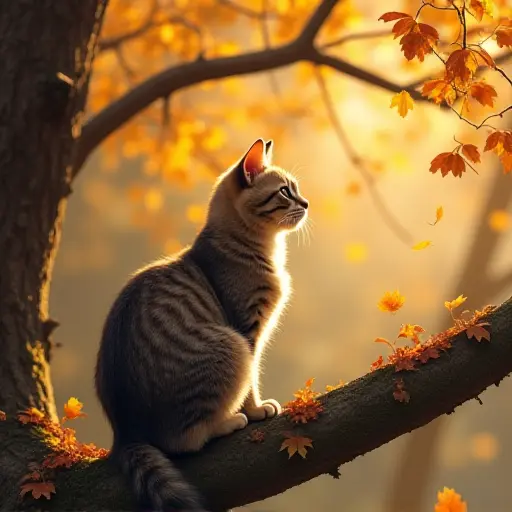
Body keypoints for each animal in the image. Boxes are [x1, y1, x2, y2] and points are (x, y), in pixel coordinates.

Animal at [95, 138, 310, 510]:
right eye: (285, 191)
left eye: (295, 189)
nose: (307, 203)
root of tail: (125, 433)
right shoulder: (247, 332)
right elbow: (251, 382)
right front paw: (256, 409)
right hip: (230, 346)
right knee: (184, 441)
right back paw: (228, 421)